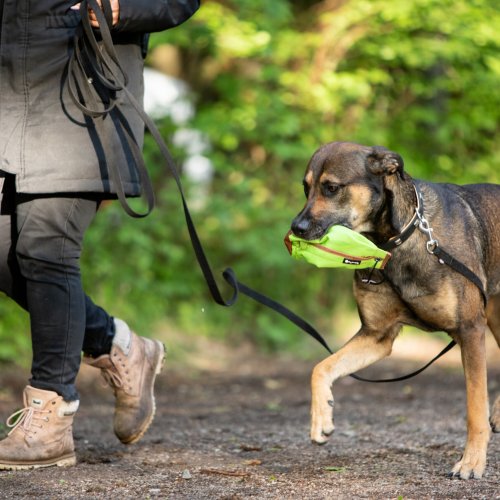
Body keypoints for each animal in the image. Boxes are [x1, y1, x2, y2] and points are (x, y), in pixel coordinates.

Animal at [292, 142, 500, 480]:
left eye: (331, 188)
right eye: (306, 187)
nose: (295, 228)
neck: (394, 241)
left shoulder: (470, 330)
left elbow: (474, 408)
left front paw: (471, 462)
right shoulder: (377, 336)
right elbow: (321, 368)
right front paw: (321, 419)